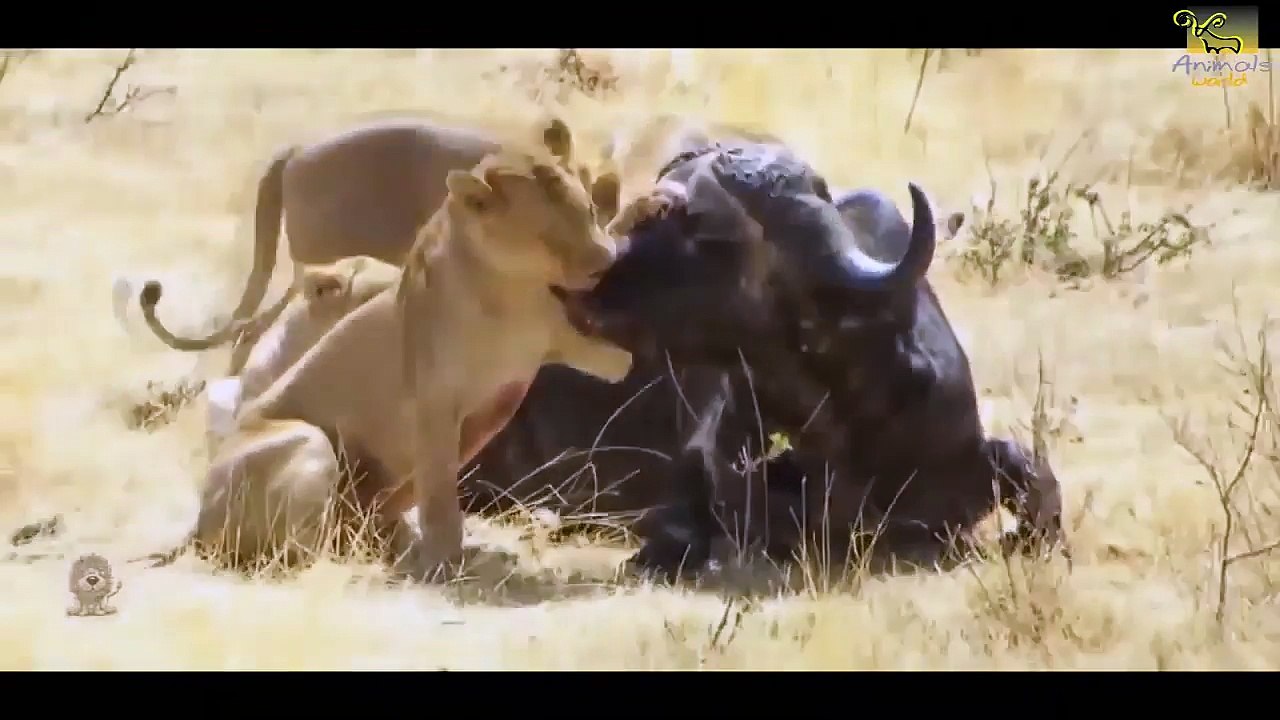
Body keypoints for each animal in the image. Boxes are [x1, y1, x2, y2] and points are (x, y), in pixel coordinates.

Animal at [152, 145, 669, 579]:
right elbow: (440, 492)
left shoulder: (571, 345)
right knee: (292, 550)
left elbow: (617, 360)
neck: (510, 293)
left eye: (587, 212)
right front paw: (444, 560)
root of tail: (195, 527)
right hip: (308, 441)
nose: (603, 262)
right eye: (547, 234)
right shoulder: (434, 403)